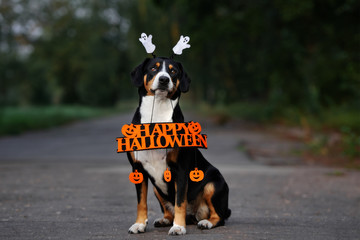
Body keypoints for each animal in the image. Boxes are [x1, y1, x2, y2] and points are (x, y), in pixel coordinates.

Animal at [126, 33, 231, 234]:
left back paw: (205, 222)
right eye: (153, 68)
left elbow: (180, 201)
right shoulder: (138, 170)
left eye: (173, 71)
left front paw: (178, 228)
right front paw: (139, 224)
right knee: (169, 209)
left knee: (219, 216)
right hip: (157, 188)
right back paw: (165, 220)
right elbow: (141, 202)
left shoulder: (181, 170)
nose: (164, 79)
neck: (157, 116)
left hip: (214, 183)